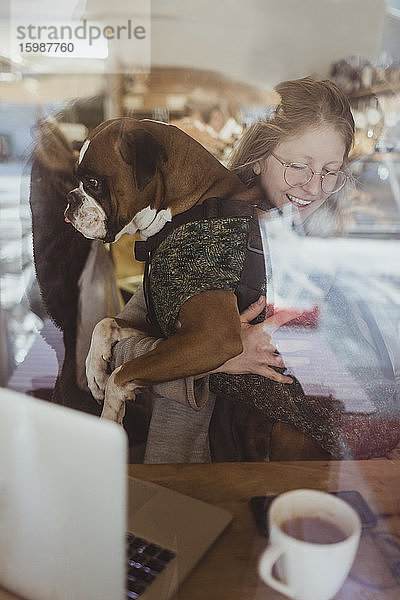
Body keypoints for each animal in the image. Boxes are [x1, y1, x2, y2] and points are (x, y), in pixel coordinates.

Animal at [64, 117, 264, 424]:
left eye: (93, 183)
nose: (70, 199)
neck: (188, 209)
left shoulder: (212, 337)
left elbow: (122, 373)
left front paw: (110, 416)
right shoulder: (166, 328)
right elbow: (106, 323)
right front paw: (95, 373)